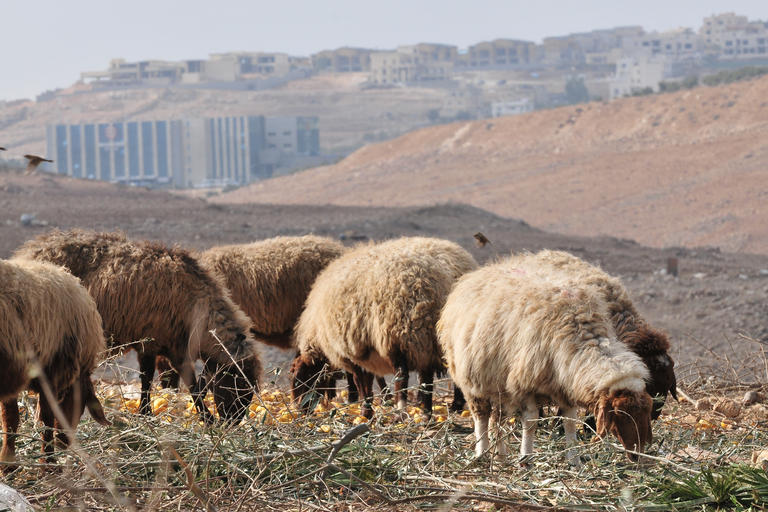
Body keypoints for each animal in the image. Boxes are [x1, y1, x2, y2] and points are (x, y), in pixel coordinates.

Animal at [0, 258, 109, 466]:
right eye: (80, 406)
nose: (64, 442)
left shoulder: (14, 377)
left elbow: (10, 419)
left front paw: (8, 462)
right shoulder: (52, 372)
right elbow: (47, 420)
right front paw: (49, 462)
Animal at [14, 230, 260, 422]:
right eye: (236, 384)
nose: (231, 422)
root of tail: (28, 251)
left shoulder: (168, 347)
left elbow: (160, 381)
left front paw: (146, 412)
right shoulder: (156, 344)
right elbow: (171, 383)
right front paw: (206, 418)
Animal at [292, 238, 476, 418]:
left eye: (300, 377)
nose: (300, 410)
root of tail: (446, 278)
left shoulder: (352, 352)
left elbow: (362, 384)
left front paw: (366, 413)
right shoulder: (365, 351)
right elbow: (369, 382)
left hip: (401, 334)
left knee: (402, 376)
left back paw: (401, 412)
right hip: (431, 340)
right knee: (430, 377)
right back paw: (430, 413)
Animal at [438, 258, 656, 462]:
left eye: (647, 411)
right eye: (621, 414)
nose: (638, 455)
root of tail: (477, 273)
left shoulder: (566, 386)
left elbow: (570, 423)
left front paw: (574, 460)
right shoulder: (524, 386)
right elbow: (531, 422)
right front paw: (526, 458)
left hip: (499, 387)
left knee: (497, 420)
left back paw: (500, 456)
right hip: (473, 381)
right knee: (481, 417)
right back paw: (482, 453)